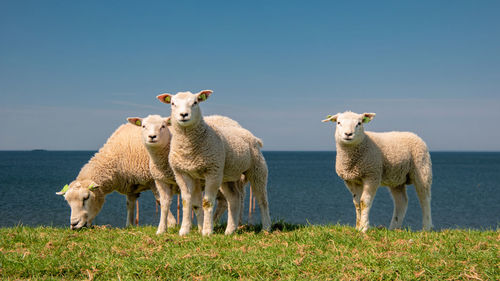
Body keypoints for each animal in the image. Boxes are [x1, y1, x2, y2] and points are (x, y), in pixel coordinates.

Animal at [158, 89, 272, 234]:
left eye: (195, 102)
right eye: (173, 103)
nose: (183, 115)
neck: (188, 147)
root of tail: (253, 136)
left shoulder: (212, 171)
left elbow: (207, 202)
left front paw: (207, 231)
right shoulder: (182, 173)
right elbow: (186, 201)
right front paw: (184, 231)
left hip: (257, 169)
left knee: (262, 199)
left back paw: (266, 227)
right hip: (228, 175)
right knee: (234, 199)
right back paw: (230, 231)